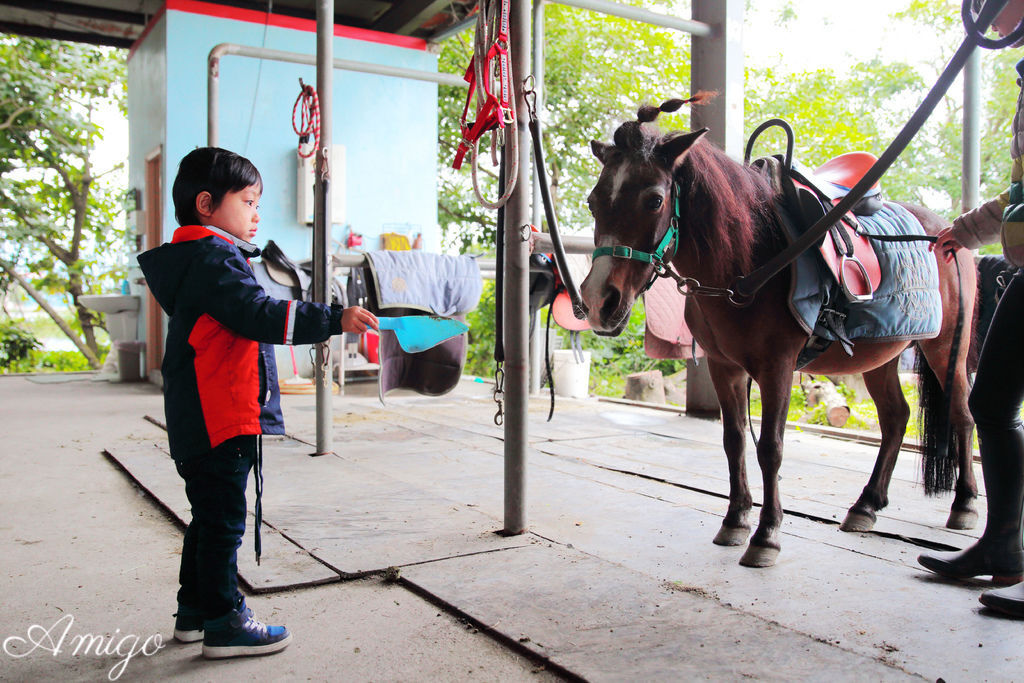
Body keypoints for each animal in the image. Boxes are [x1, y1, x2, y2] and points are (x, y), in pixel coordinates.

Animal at [585, 107, 974, 569]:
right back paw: (866, 505)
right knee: (896, 417)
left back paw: (964, 504)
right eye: (593, 202)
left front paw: (766, 535)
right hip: (881, 355)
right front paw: (735, 520)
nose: (597, 300)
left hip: (947, 347)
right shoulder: (724, 367)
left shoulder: (778, 368)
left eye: (655, 200)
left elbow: (770, 446)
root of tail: (946, 232)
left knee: (962, 415)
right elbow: (734, 440)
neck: (747, 262)